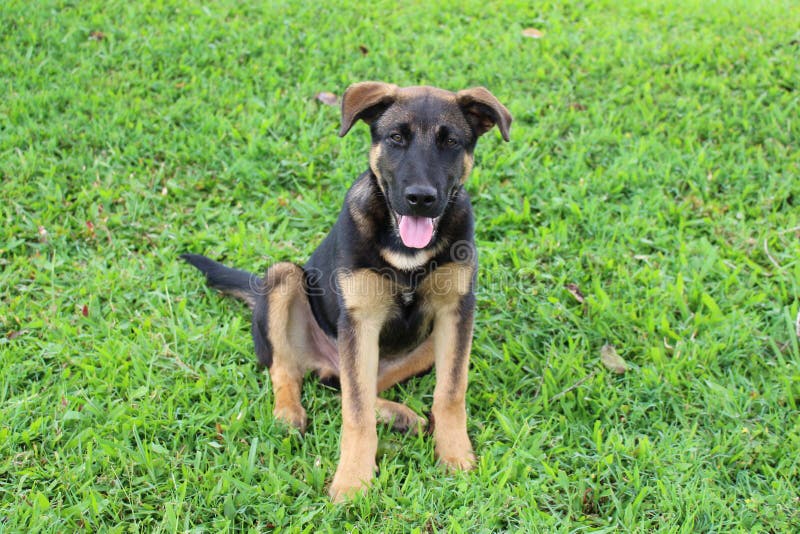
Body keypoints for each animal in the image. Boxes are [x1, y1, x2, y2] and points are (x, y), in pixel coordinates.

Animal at [180, 82, 510, 502]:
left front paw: (455, 455)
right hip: (284, 279)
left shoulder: (457, 312)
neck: (406, 251)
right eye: (396, 138)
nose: (420, 198)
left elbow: (451, 391)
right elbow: (355, 413)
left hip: (419, 346)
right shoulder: (360, 321)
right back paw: (288, 413)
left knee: (350, 386)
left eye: (451, 141)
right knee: (289, 370)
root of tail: (327, 362)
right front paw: (353, 480)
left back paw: (400, 416)